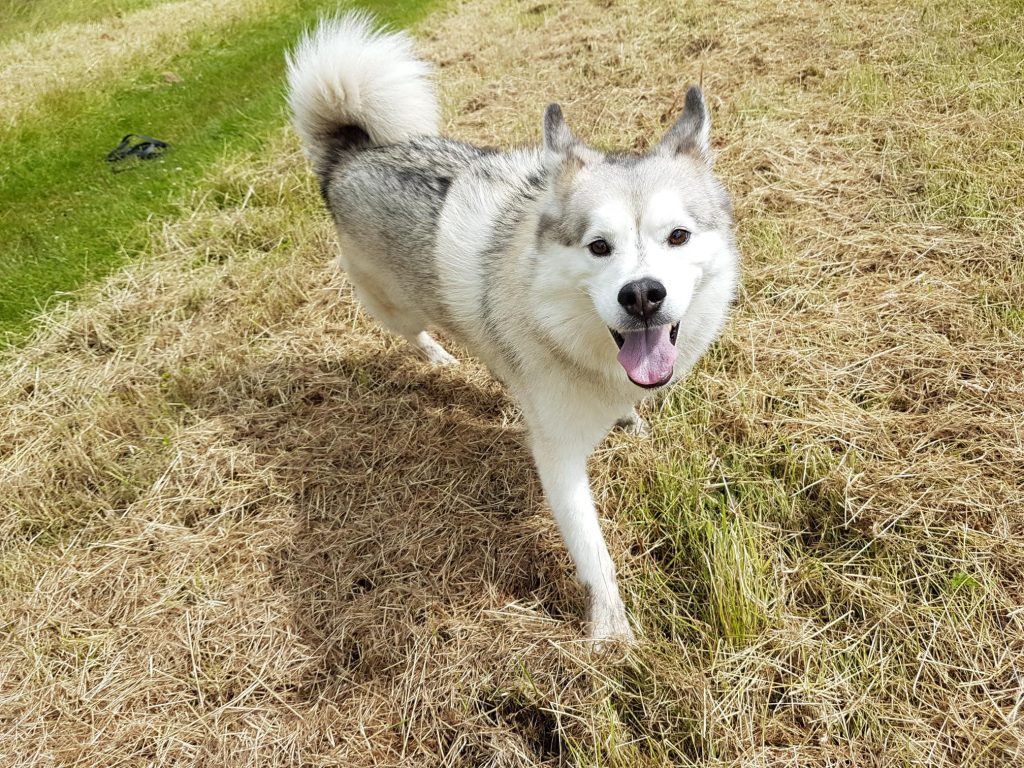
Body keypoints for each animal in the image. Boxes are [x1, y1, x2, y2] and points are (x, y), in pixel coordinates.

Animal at [284, 15, 741, 647]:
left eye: (678, 236)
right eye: (598, 247)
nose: (643, 295)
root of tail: (352, 152)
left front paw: (629, 420)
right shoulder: (558, 457)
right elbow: (594, 554)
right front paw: (612, 634)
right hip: (397, 306)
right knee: (414, 331)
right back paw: (438, 357)